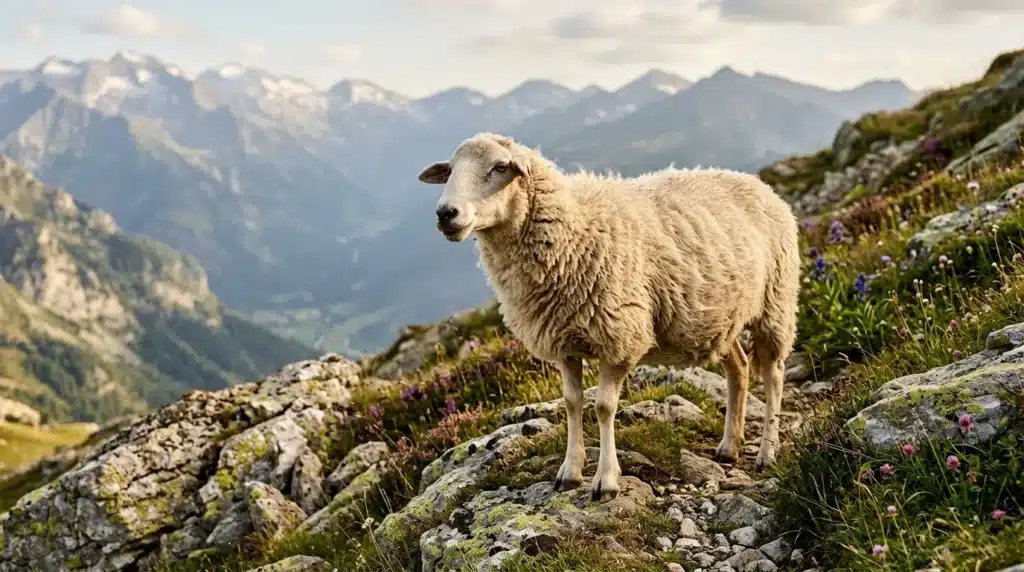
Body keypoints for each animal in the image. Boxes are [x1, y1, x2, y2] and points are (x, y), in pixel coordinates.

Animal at [417, 132, 800, 502]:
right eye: (449, 170)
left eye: (499, 167)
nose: (445, 213)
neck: (573, 229)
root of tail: (757, 184)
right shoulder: (563, 342)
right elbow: (572, 403)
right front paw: (570, 471)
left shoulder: (620, 338)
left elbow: (603, 407)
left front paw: (606, 480)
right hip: (722, 319)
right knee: (740, 368)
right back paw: (729, 446)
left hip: (776, 302)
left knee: (774, 374)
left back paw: (767, 451)